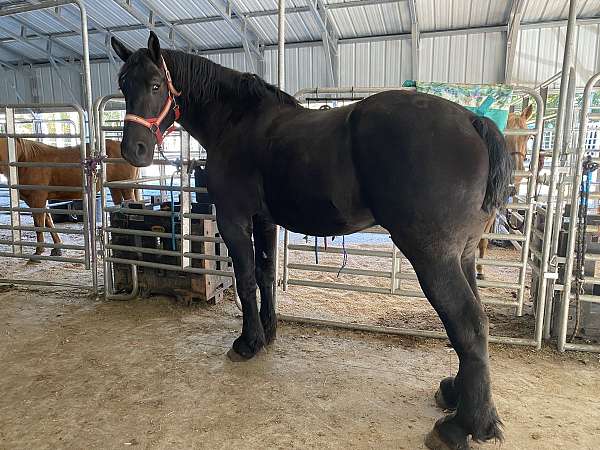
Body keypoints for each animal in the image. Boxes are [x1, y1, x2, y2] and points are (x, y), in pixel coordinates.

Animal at [0, 137, 138, 256]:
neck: (26, 159)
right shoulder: (38, 201)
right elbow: (49, 222)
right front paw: (57, 248)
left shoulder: (37, 199)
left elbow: (39, 225)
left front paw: (39, 251)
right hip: (114, 187)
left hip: (126, 188)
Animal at [111, 32, 510, 450]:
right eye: (123, 85)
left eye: (156, 85)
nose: (134, 150)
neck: (237, 121)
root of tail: (473, 120)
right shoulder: (264, 220)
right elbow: (266, 274)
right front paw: (268, 333)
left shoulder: (234, 219)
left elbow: (246, 280)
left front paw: (248, 343)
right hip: (462, 255)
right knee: (475, 323)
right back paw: (456, 395)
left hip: (432, 257)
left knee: (468, 323)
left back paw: (464, 426)